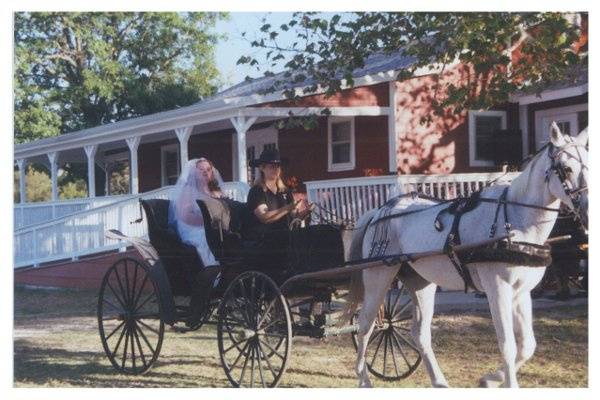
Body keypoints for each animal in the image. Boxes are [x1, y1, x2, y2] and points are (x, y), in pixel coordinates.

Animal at [344, 124, 588, 388]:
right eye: (566, 168)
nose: (588, 209)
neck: (514, 219)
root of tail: (379, 211)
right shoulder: (497, 289)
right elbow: (508, 345)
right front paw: (505, 383)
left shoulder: (521, 292)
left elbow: (527, 346)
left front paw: (490, 379)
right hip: (378, 276)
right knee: (366, 325)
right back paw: (363, 379)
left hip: (421, 282)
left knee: (419, 333)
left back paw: (439, 381)